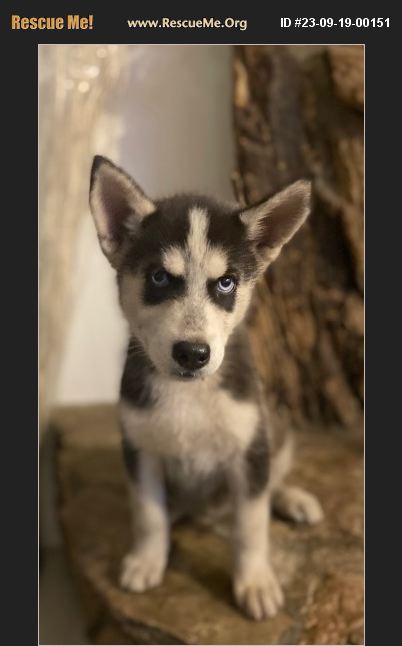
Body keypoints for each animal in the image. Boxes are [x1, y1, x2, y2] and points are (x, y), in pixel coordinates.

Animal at [89, 155, 323, 621]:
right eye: (159, 278)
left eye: (226, 283)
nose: (193, 353)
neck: (190, 394)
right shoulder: (139, 448)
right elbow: (148, 514)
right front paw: (147, 560)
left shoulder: (249, 450)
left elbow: (252, 523)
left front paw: (254, 582)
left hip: (276, 430)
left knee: (273, 478)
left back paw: (292, 499)